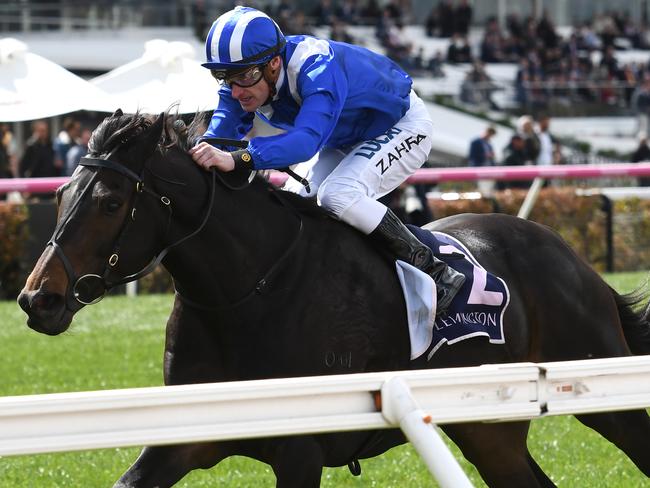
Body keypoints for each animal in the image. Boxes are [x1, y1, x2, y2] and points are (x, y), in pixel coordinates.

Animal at [17, 112, 648, 486]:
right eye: (62, 192)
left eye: (109, 202)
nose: (37, 299)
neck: (247, 290)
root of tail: (571, 257)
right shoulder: (186, 435)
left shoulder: (300, 449)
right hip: (489, 430)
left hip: (600, 385)